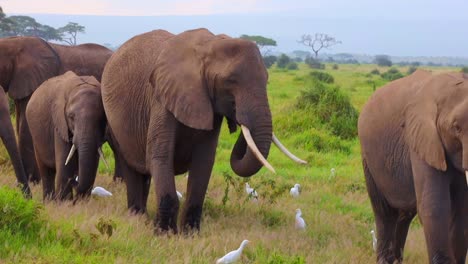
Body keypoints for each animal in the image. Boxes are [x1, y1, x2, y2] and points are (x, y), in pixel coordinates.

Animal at [25, 71, 108, 200]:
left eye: (101, 118)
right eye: (71, 117)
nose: (75, 180)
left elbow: (92, 164)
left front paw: (81, 202)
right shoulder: (59, 124)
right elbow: (65, 167)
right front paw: (65, 203)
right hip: (35, 135)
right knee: (46, 172)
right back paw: (49, 202)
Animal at [102, 28, 306, 233]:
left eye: (267, 80)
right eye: (230, 81)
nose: (237, 119)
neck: (210, 44)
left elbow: (204, 161)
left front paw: (189, 234)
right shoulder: (161, 98)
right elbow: (160, 156)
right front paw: (164, 234)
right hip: (113, 120)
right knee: (131, 167)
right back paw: (137, 217)